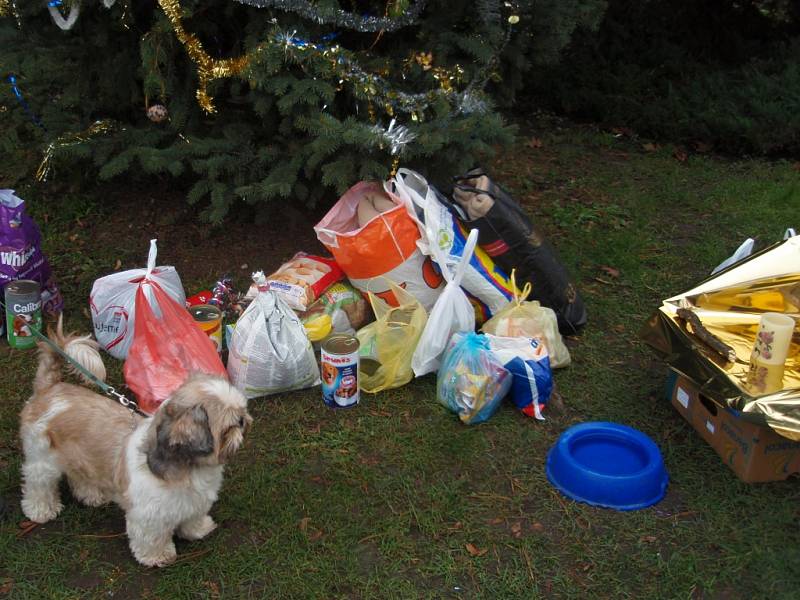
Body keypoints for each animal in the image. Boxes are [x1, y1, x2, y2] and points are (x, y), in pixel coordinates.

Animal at [20, 322, 252, 564]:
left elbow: (192, 519)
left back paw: (92, 495)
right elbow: (152, 538)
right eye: (229, 428)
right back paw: (41, 510)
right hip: (42, 460)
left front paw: (198, 529)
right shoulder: (150, 516)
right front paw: (158, 556)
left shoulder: (194, 503)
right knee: (38, 484)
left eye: (242, 413)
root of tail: (50, 389)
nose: (244, 421)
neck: (191, 470)